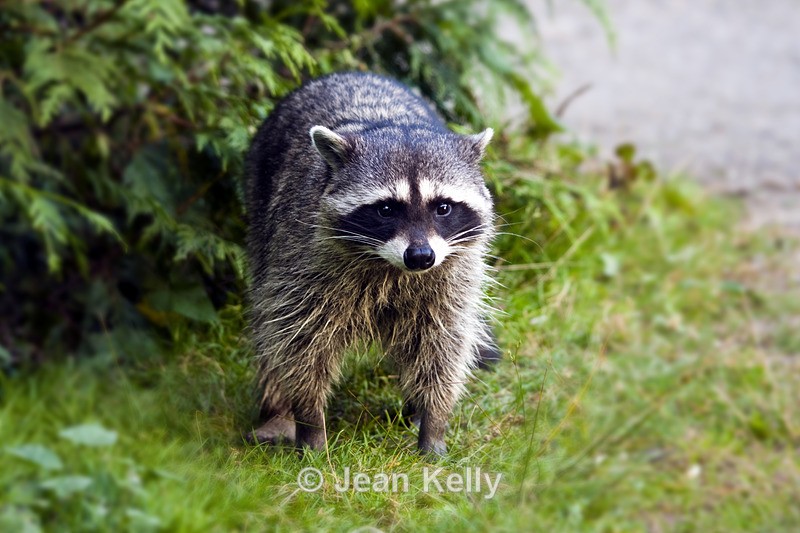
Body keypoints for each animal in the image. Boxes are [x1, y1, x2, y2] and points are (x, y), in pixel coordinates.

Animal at [245, 72, 499, 455]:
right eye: (386, 209)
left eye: (443, 208)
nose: (421, 256)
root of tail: (353, 74)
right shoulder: (303, 260)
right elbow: (299, 340)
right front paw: (309, 419)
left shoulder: (453, 274)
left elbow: (443, 345)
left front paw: (434, 419)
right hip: (262, 207)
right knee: (269, 322)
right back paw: (277, 410)